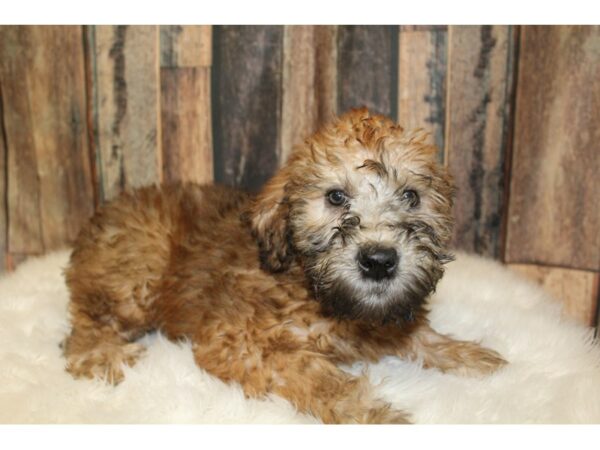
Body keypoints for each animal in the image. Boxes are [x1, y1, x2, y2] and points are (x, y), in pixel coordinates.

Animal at [63, 108, 506, 422]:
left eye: (411, 197)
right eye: (335, 197)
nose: (379, 261)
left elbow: (421, 336)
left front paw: (472, 357)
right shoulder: (237, 341)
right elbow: (314, 374)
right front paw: (371, 413)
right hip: (138, 274)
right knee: (85, 324)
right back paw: (101, 354)